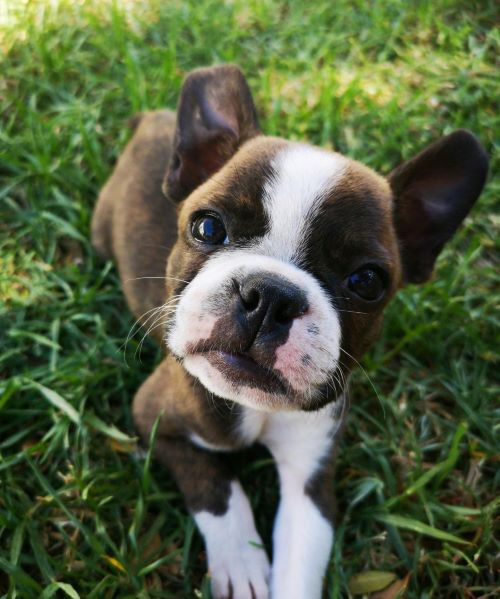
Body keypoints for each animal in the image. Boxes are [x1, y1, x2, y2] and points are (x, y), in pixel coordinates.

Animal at [91, 65, 488, 599]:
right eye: (207, 228)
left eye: (367, 282)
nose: (270, 296)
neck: (255, 407)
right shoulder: (158, 420)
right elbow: (217, 488)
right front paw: (241, 562)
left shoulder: (310, 477)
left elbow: (299, 563)